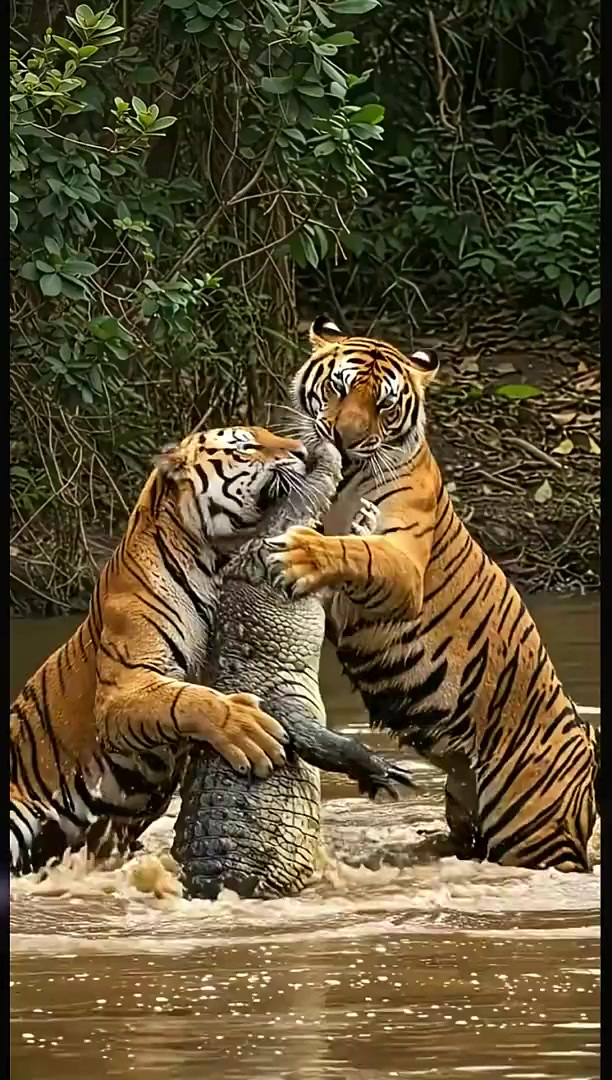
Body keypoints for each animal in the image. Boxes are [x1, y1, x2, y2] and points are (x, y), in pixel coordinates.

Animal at [10, 426, 308, 875]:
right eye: (245, 447)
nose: (305, 452)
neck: (213, 561)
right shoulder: (125, 687)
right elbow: (188, 699)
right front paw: (245, 727)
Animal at [268, 316, 599, 873]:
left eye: (383, 405)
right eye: (337, 389)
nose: (344, 440)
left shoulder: (404, 564)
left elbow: (358, 551)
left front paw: (302, 553)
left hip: (533, 830)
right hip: (464, 810)